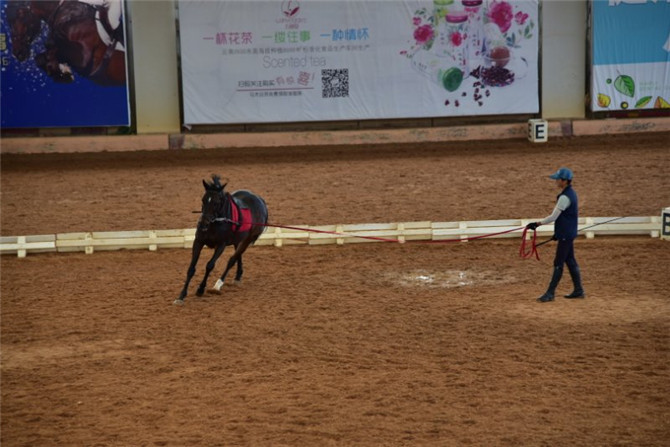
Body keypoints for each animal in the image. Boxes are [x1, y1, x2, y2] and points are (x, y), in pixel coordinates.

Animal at [174, 176, 269, 305]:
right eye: (203, 200)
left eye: (216, 202)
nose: (203, 224)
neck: (215, 223)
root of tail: (260, 200)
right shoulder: (198, 242)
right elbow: (191, 269)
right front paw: (181, 296)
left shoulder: (221, 245)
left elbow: (210, 265)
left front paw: (201, 289)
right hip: (238, 240)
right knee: (237, 256)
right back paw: (237, 277)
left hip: (247, 240)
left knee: (232, 260)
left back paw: (218, 285)